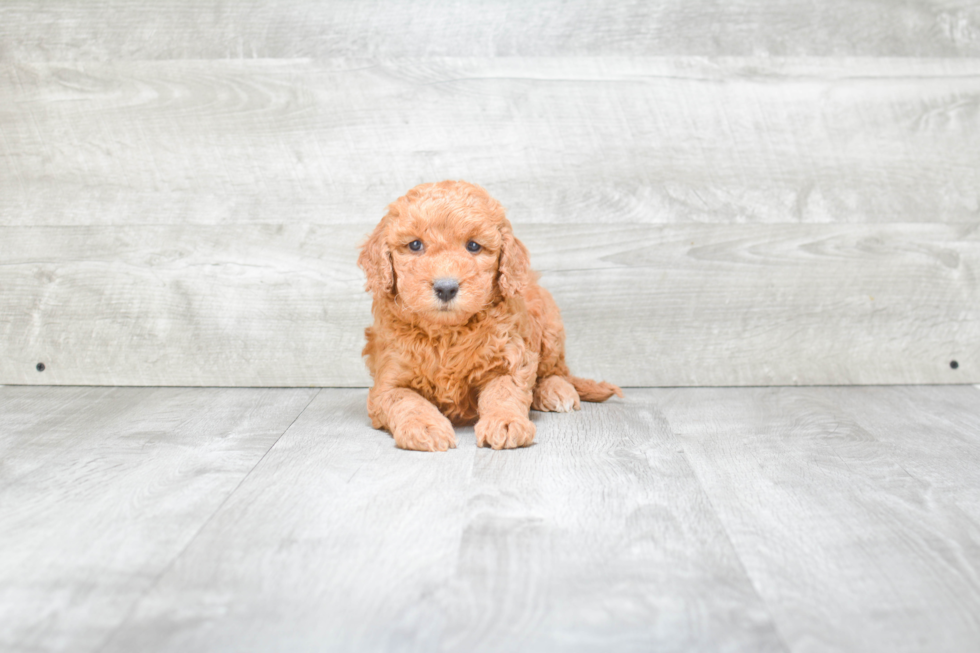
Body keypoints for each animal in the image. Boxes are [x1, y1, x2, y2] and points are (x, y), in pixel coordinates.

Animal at [358, 181, 620, 450]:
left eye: (473, 246)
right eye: (415, 245)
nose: (446, 288)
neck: (446, 333)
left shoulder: (508, 359)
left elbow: (505, 392)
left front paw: (505, 422)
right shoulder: (388, 379)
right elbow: (406, 400)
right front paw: (424, 427)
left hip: (550, 326)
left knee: (554, 371)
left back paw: (556, 390)